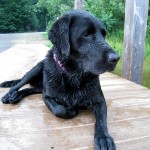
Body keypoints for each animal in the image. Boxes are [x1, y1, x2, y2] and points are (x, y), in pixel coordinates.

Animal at [0, 10, 119, 149]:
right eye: (86, 34)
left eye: (104, 35)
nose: (116, 58)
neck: (73, 75)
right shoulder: (47, 96)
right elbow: (59, 110)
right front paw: (71, 110)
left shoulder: (99, 101)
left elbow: (101, 121)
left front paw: (103, 138)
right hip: (36, 69)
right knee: (18, 84)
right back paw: (10, 95)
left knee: (29, 90)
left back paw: (16, 96)